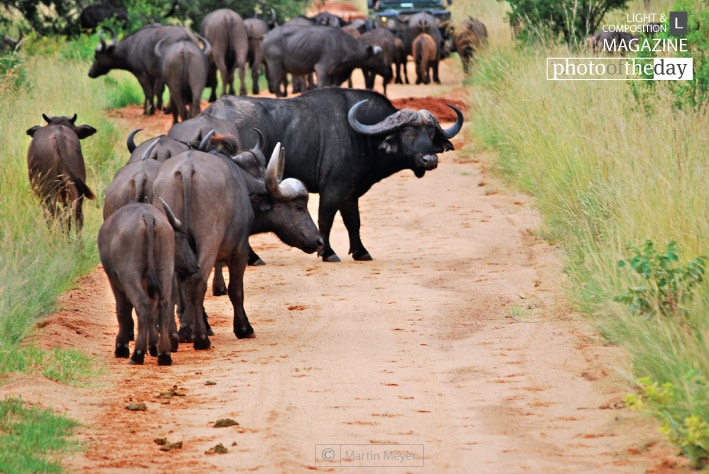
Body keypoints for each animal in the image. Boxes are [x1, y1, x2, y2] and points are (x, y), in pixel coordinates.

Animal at [153, 138, 322, 348]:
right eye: (299, 207)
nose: (319, 241)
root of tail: (186, 168)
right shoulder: (240, 251)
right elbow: (236, 290)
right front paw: (244, 328)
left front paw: (191, 327)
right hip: (209, 240)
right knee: (198, 282)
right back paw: (201, 338)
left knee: (175, 287)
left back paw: (178, 334)